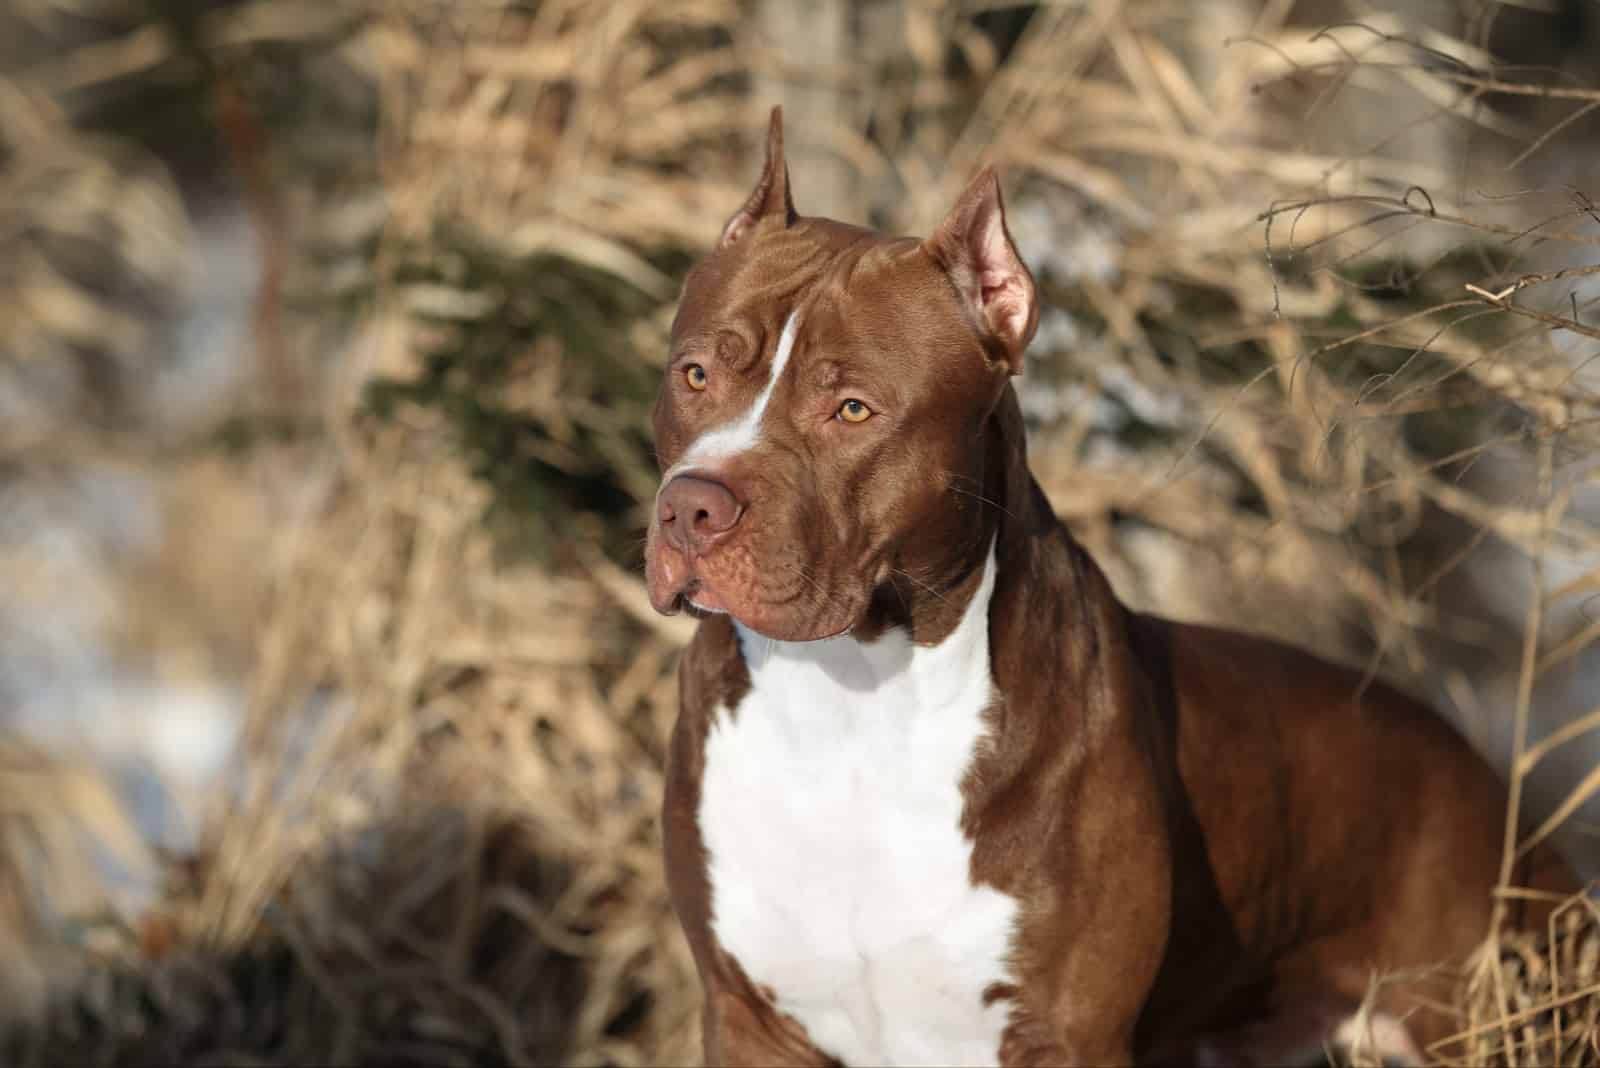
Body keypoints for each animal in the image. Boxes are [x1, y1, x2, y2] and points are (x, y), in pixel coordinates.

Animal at [640, 110, 1574, 1068]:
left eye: (853, 410)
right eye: (695, 375)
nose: (691, 507)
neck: (854, 700)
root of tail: (1494, 789)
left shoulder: (1066, 1029)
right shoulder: (751, 1020)